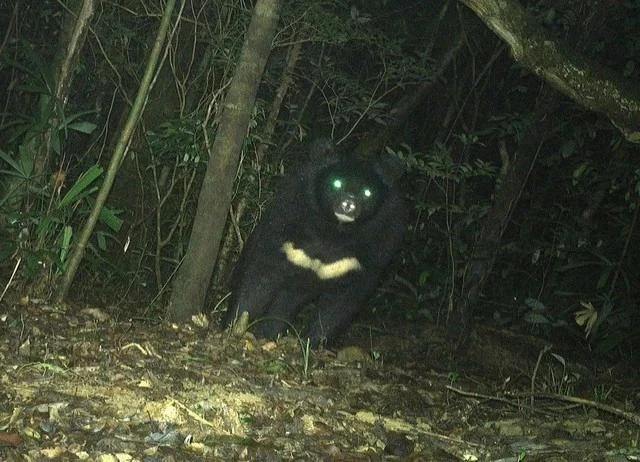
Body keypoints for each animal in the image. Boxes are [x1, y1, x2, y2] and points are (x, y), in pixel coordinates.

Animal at [225, 142, 404, 346]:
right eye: (336, 183)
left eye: (368, 192)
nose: (348, 204)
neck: (333, 231)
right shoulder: (285, 227)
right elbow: (259, 277)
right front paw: (235, 327)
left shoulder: (370, 253)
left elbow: (341, 303)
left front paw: (312, 342)